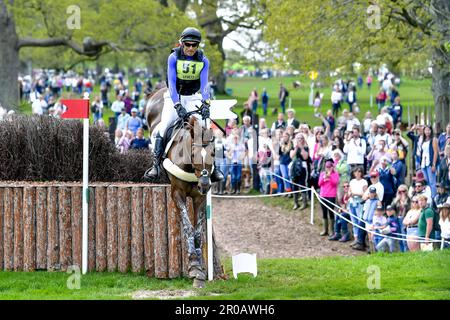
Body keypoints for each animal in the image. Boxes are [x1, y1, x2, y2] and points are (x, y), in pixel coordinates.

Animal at [144, 87, 214, 288]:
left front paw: (200, 267)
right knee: (156, 137)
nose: (205, 185)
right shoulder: (178, 194)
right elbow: (188, 227)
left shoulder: (199, 197)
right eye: (193, 153)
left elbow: (198, 232)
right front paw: (193, 266)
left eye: (214, 153)